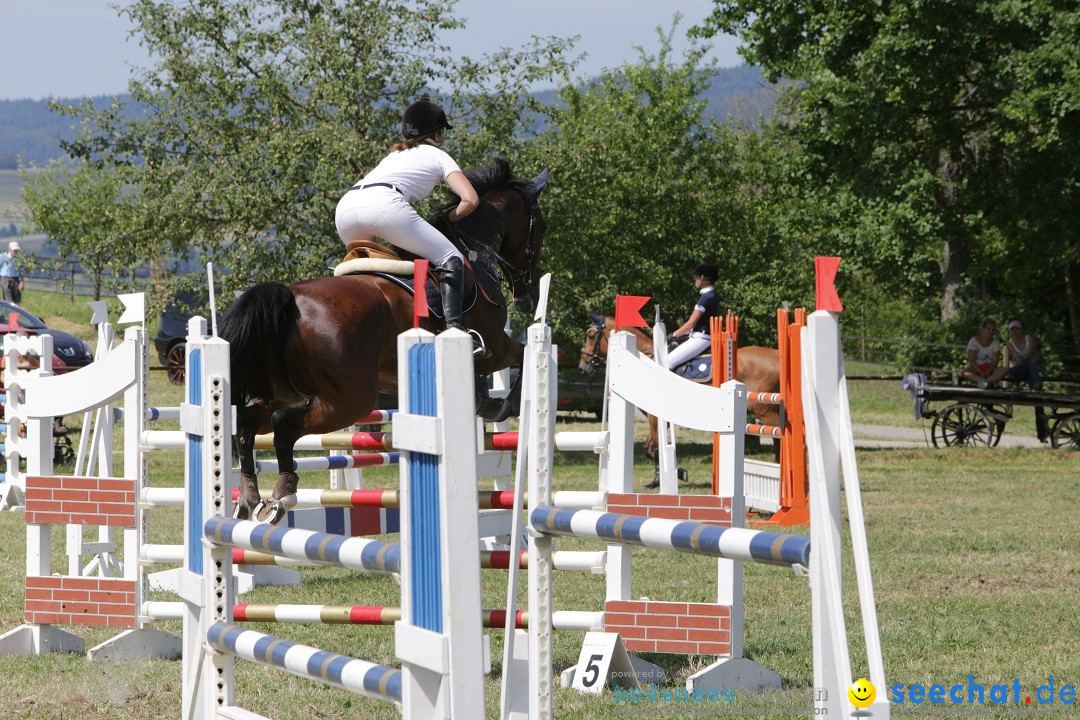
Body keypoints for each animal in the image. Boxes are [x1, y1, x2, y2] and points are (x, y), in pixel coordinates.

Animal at [217, 158, 548, 524]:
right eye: (541, 228)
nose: (529, 298)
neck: (475, 253)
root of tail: (291, 298)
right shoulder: (494, 347)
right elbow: (523, 353)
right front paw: (505, 404)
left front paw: (488, 404)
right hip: (351, 399)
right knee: (283, 426)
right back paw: (282, 495)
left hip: (288, 393)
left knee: (247, 424)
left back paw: (249, 497)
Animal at [578, 315, 781, 462]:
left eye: (591, 336)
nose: (582, 367)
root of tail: (776, 356)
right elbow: (650, 448)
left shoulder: (654, 415)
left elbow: (654, 449)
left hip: (763, 409)